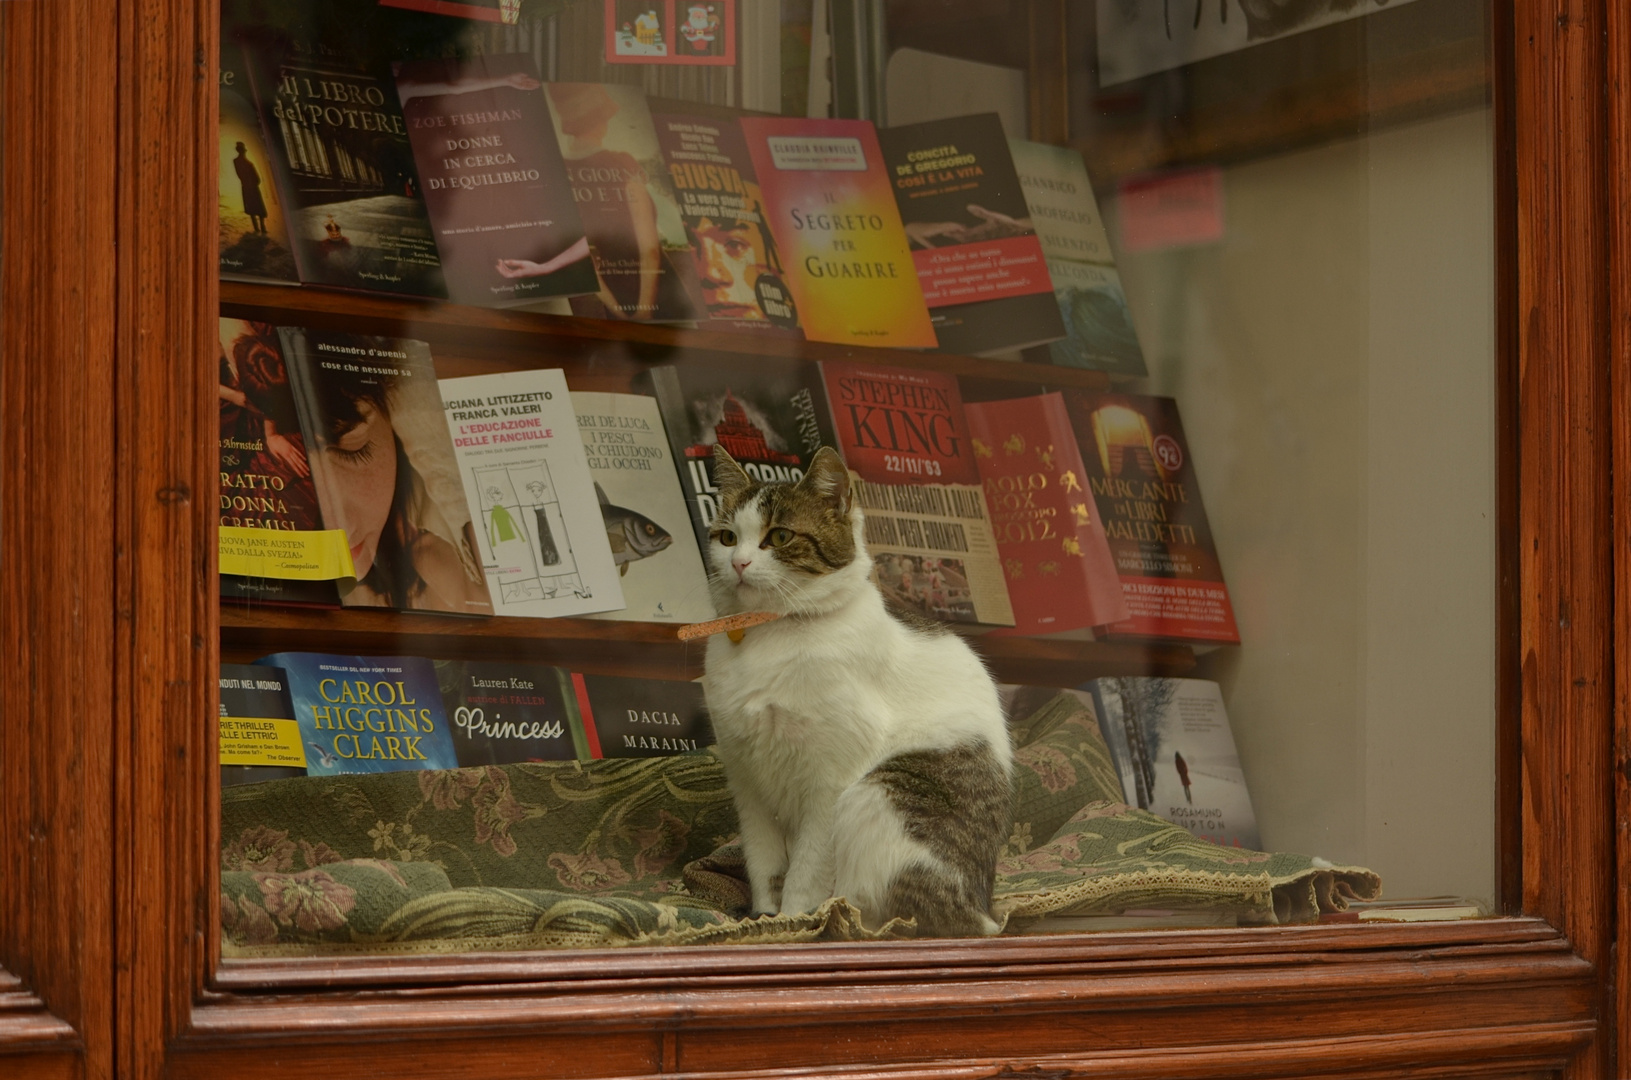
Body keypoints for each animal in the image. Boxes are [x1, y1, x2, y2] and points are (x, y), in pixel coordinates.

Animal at [704, 443, 1011, 933]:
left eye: (780, 537)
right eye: (727, 538)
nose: (738, 563)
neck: (766, 638)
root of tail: (982, 911)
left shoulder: (829, 781)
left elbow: (806, 867)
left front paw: (794, 920)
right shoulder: (747, 782)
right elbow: (763, 861)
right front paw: (764, 917)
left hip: (879, 791)